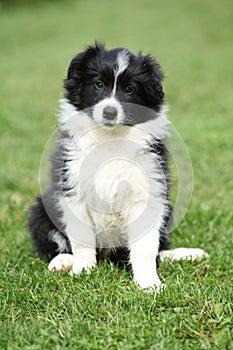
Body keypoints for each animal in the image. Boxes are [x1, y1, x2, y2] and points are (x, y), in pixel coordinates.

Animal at [28, 43, 208, 290]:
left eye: (130, 89)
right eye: (98, 84)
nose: (110, 112)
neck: (110, 137)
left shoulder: (147, 193)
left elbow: (145, 248)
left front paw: (149, 283)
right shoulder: (73, 190)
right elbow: (82, 239)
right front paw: (83, 271)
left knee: (158, 249)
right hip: (40, 209)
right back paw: (63, 261)